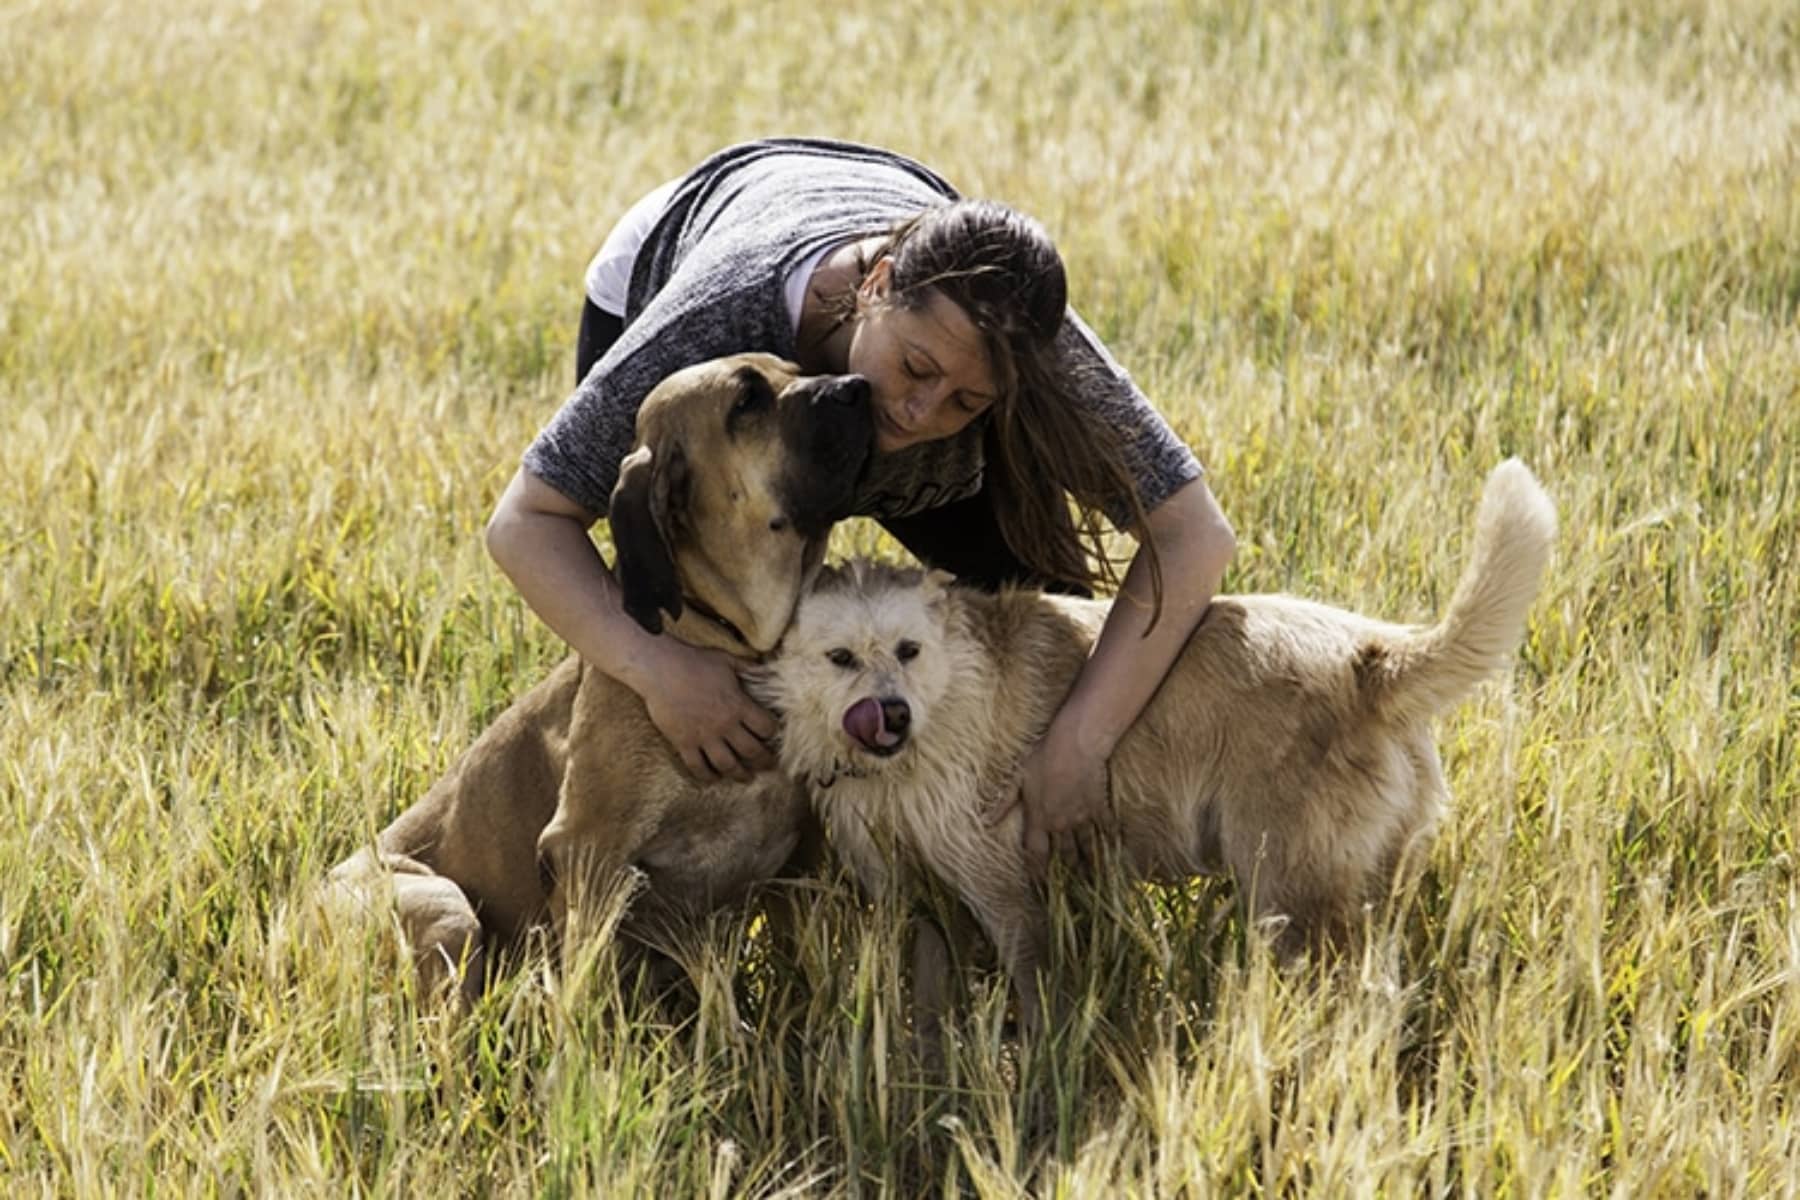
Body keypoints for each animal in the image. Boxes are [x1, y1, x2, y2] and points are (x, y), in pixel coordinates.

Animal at [336, 354, 878, 1007]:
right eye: (746, 402)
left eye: (797, 369)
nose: (858, 387)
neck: (740, 641)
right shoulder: (584, 853)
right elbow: (589, 997)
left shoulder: (800, 859)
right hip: (446, 910)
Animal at [752, 455, 1555, 1036]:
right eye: (840, 659)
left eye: (908, 650)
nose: (889, 716)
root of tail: (1374, 656)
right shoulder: (916, 897)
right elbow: (925, 1003)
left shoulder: (1005, 889)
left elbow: (1036, 986)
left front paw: (1042, 1065)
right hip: (1365, 884)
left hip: (1289, 893)